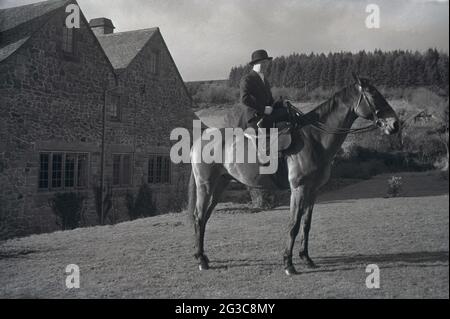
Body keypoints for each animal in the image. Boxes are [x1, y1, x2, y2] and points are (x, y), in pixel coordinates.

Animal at [188, 74, 400, 276]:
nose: (395, 124)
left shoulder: (313, 191)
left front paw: (306, 258)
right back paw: (201, 261)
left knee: (204, 217)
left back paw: (202, 256)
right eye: (373, 94)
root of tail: (200, 140)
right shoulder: (299, 189)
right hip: (205, 186)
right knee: (199, 216)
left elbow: (306, 224)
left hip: (220, 185)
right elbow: (294, 225)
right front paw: (288, 264)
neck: (314, 138)